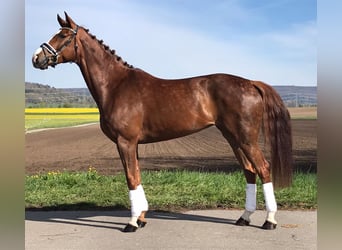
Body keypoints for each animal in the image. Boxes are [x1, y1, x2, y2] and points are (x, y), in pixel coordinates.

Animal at [33, 12, 292, 232]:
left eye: (63, 35)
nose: (37, 58)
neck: (116, 85)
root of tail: (251, 83)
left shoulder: (125, 142)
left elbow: (131, 178)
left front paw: (131, 223)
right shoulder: (133, 144)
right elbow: (137, 176)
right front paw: (141, 218)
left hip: (246, 138)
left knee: (263, 168)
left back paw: (269, 221)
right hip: (233, 138)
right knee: (249, 171)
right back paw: (244, 218)